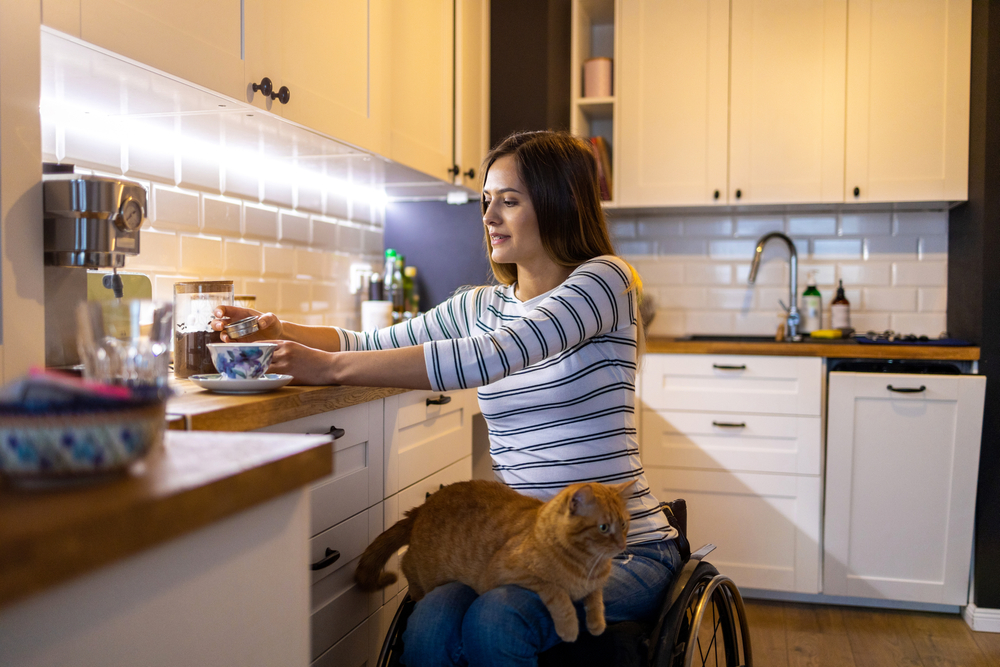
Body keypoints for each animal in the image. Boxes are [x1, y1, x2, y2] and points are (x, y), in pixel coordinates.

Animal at [356, 480, 628, 640]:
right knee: (406, 565)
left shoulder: (595, 584)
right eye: (604, 527)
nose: (622, 545)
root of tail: (423, 506)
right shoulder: (506, 572)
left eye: (625, 524)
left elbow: (596, 596)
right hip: (423, 569)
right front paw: (570, 628)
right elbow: (557, 592)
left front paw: (596, 623)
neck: (587, 563)